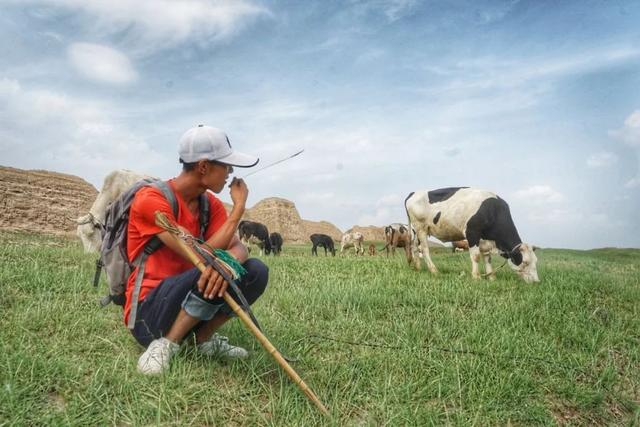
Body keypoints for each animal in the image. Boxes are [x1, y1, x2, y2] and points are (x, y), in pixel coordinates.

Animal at [404, 188, 540, 282]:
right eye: (525, 262)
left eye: (536, 261)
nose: (536, 282)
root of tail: (414, 192)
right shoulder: (472, 232)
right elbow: (476, 256)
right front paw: (476, 277)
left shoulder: (485, 240)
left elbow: (487, 258)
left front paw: (491, 277)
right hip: (421, 228)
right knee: (425, 249)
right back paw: (434, 270)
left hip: (417, 231)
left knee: (414, 247)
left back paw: (417, 267)